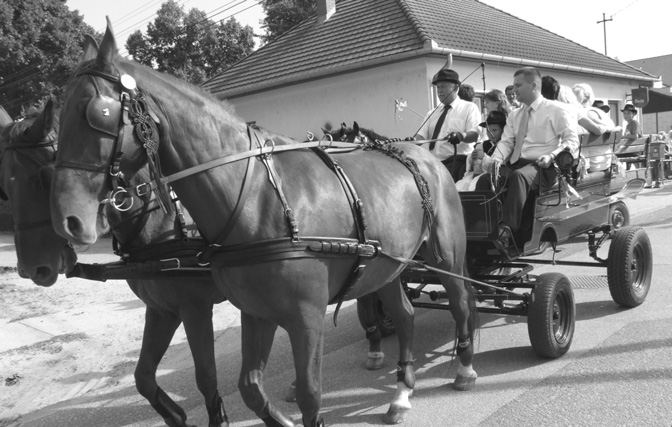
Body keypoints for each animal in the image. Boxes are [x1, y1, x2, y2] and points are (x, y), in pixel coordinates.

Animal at [50, 20, 476, 427]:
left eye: (97, 113)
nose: (68, 221)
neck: (257, 196)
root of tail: (424, 155)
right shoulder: (250, 309)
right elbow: (248, 387)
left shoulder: (293, 316)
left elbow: (307, 395)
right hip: (387, 266)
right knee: (404, 315)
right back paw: (402, 391)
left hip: (446, 257)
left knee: (461, 303)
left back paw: (465, 367)